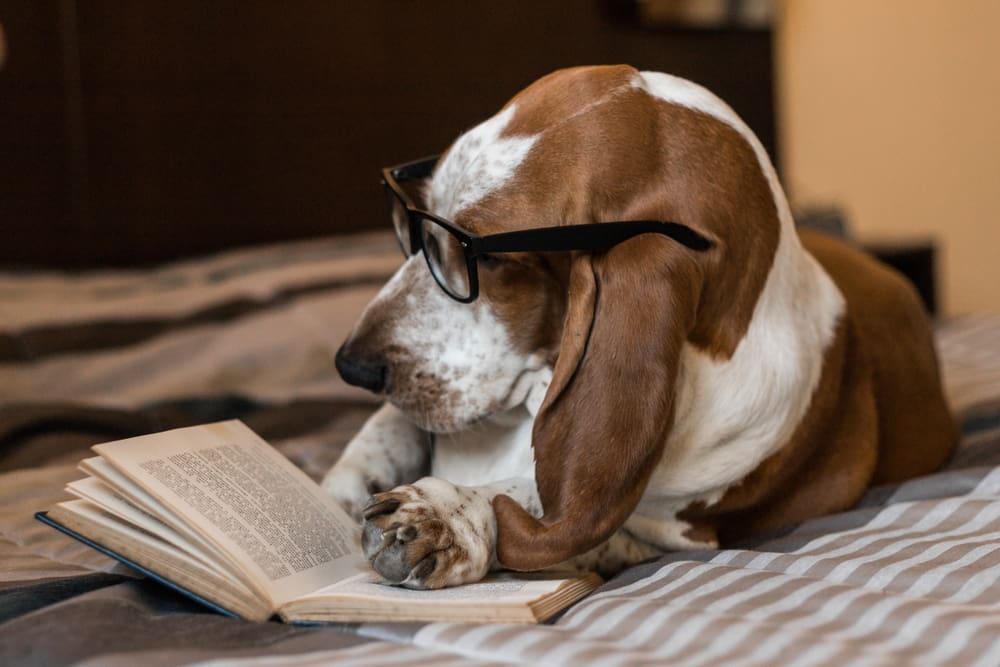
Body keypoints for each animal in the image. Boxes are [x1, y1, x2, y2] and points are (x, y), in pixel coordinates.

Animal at [324, 65, 956, 588]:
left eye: (492, 259)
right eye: (411, 223)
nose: (351, 366)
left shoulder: (673, 535)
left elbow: (542, 510)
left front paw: (450, 515)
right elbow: (386, 433)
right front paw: (330, 496)